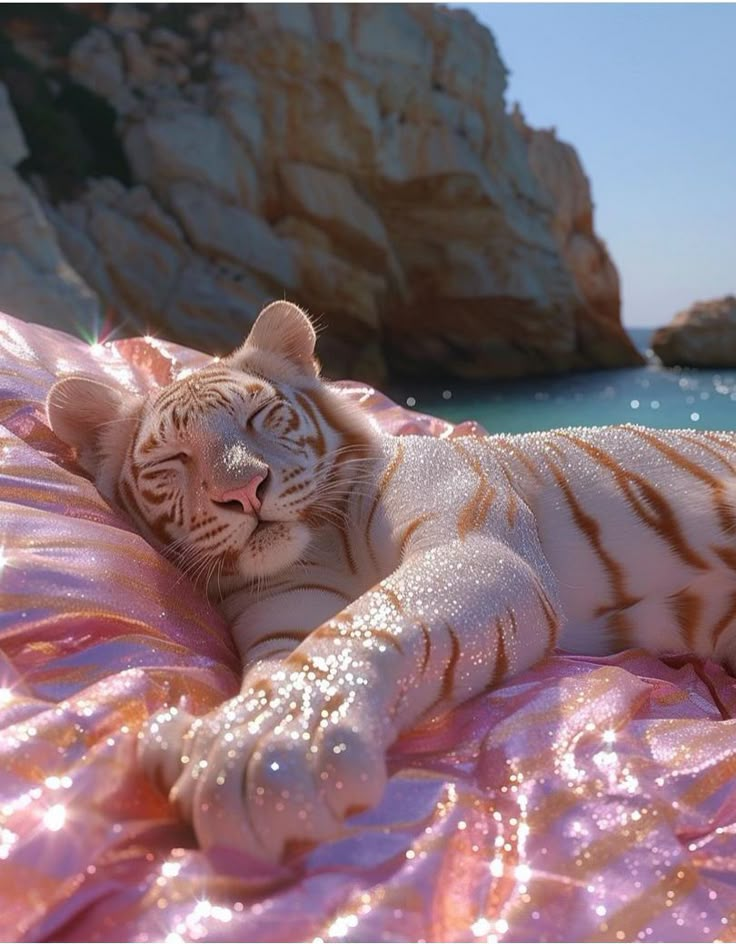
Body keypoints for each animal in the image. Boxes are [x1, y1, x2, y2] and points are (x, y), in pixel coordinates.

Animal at [47, 300, 736, 864]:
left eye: (261, 416)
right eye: (172, 459)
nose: (244, 491)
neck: (325, 539)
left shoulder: (474, 544)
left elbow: (367, 625)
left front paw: (263, 750)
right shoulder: (283, 618)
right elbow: (289, 661)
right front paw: (212, 735)